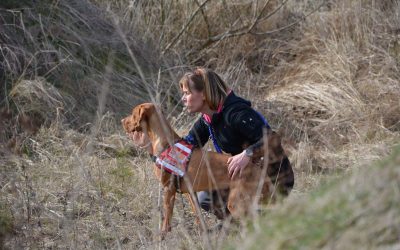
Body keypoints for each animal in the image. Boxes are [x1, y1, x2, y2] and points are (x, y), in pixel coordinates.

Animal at [121, 103, 288, 236]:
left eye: (133, 113)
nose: (122, 121)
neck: (167, 143)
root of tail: (260, 172)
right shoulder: (189, 192)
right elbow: (198, 217)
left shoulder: (169, 189)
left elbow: (167, 219)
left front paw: (161, 236)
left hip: (237, 204)